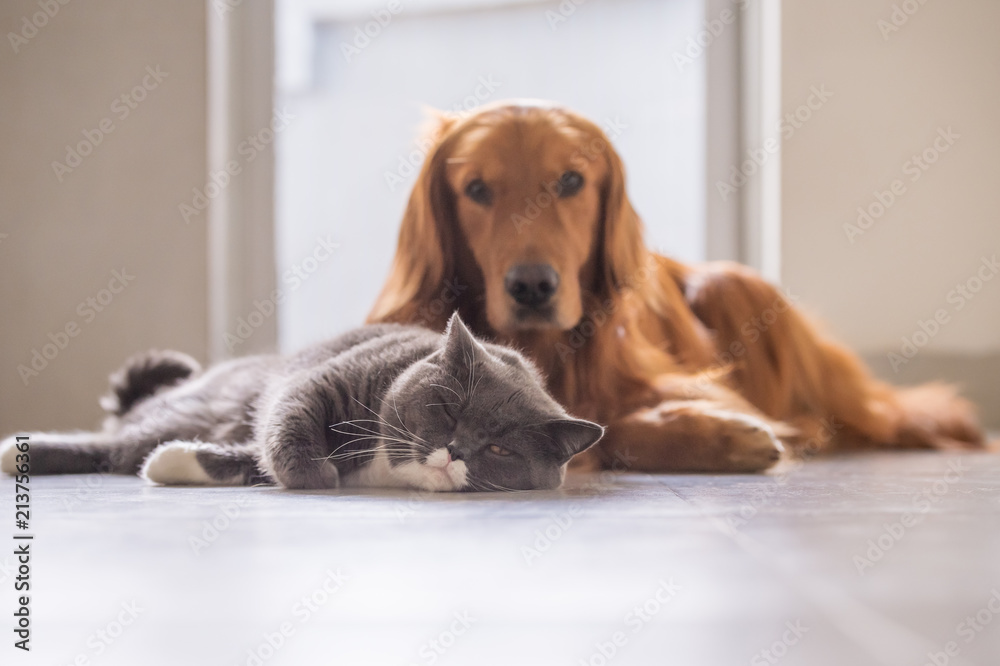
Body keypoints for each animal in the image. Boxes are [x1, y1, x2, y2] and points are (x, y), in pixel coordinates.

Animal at [0, 314, 600, 490]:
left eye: (499, 449)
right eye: (448, 411)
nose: (455, 450)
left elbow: (252, 458)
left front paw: (175, 463)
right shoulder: (324, 380)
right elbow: (288, 419)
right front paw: (318, 476)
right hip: (193, 406)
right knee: (108, 441)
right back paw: (16, 453)